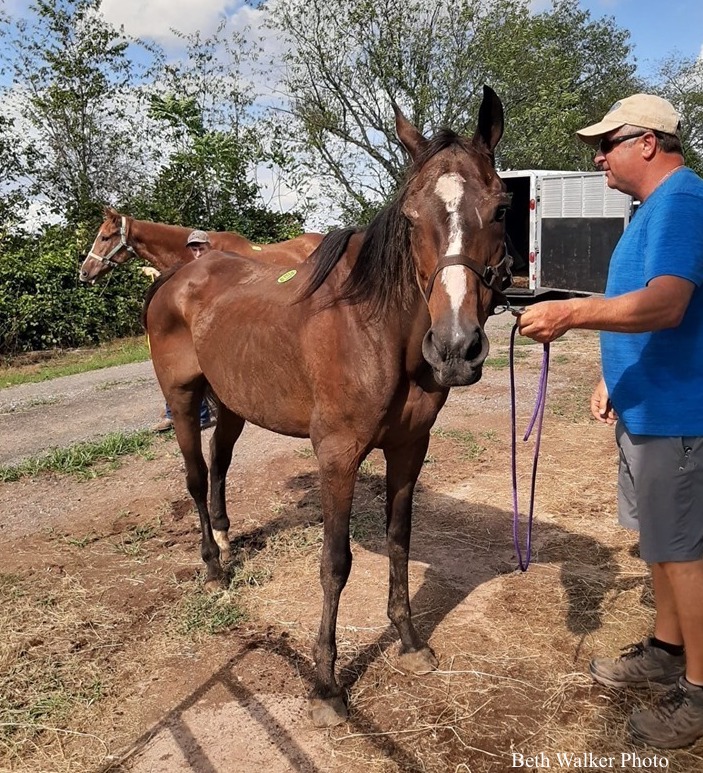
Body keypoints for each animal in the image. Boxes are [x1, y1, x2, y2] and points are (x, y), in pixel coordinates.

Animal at [142, 87, 512, 728]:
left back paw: (226, 536)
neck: (375, 328)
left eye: (499, 209)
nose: (454, 349)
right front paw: (326, 686)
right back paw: (213, 565)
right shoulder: (337, 456)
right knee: (192, 474)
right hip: (184, 400)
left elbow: (399, 542)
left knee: (218, 464)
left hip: (232, 402)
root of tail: (178, 275)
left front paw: (409, 642)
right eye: (410, 218)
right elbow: (335, 563)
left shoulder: (409, 448)